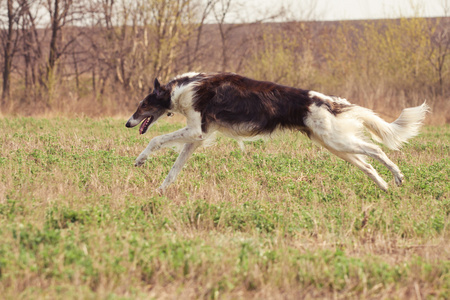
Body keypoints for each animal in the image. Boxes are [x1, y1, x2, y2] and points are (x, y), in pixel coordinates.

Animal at [125, 72, 428, 192]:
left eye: (142, 105)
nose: (128, 123)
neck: (182, 88)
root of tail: (324, 100)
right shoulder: (197, 136)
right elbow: (174, 170)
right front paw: (159, 191)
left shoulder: (195, 131)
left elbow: (156, 139)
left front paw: (140, 159)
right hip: (334, 145)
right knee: (367, 165)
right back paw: (385, 187)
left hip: (337, 141)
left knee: (376, 150)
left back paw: (397, 176)